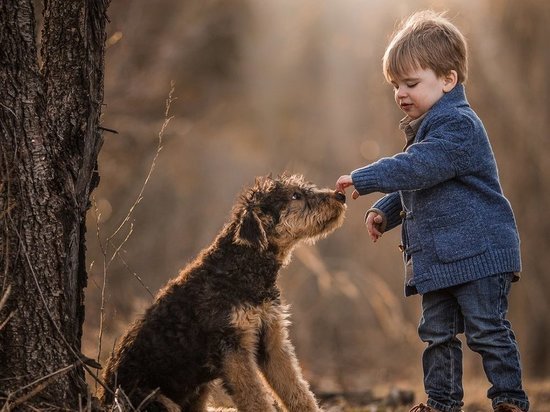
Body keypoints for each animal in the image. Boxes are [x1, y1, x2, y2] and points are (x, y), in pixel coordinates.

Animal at [101, 175, 348, 412]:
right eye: (295, 196)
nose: (340, 196)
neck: (243, 267)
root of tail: (103, 395)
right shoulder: (232, 346)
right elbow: (256, 399)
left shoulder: (272, 340)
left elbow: (297, 391)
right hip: (152, 398)